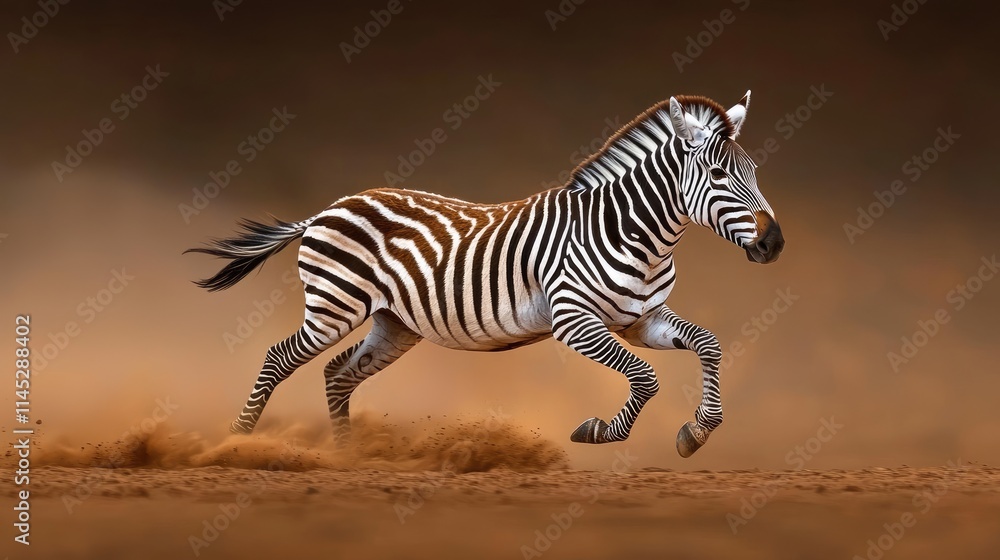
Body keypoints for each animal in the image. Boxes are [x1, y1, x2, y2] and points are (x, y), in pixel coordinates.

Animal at [187, 91, 784, 458]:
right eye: (718, 174)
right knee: (277, 357)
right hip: (335, 305)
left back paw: (348, 458)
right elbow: (645, 377)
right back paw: (234, 446)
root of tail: (326, 209)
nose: (774, 244)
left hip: (393, 323)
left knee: (337, 373)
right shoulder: (573, 320)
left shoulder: (642, 320)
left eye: (754, 172)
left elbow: (708, 346)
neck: (631, 233)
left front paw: (696, 433)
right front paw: (597, 432)